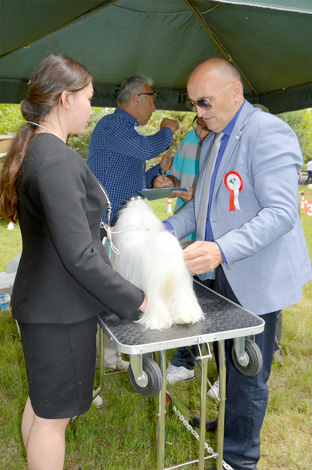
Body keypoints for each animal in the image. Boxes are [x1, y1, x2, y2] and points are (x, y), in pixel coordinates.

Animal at [111, 198, 204, 330]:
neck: (138, 229)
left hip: (155, 289)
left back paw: (158, 322)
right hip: (180, 283)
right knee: (182, 299)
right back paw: (185, 317)